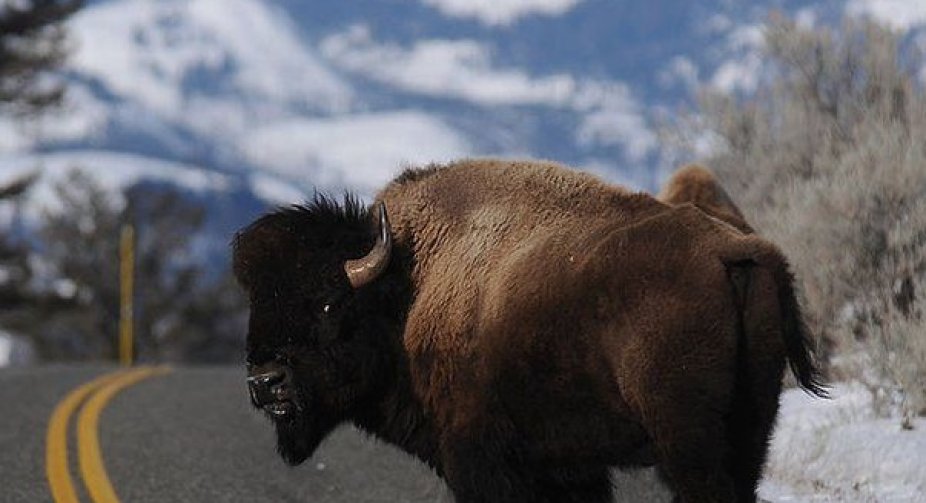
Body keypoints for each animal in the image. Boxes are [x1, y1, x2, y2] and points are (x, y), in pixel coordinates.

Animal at [233, 159, 826, 503]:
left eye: (328, 302)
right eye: (256, 304)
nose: (264, 383)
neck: (407, 286)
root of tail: (733, 250)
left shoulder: (479, 461)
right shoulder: (567, 470)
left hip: (686, 437)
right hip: (751, 424)